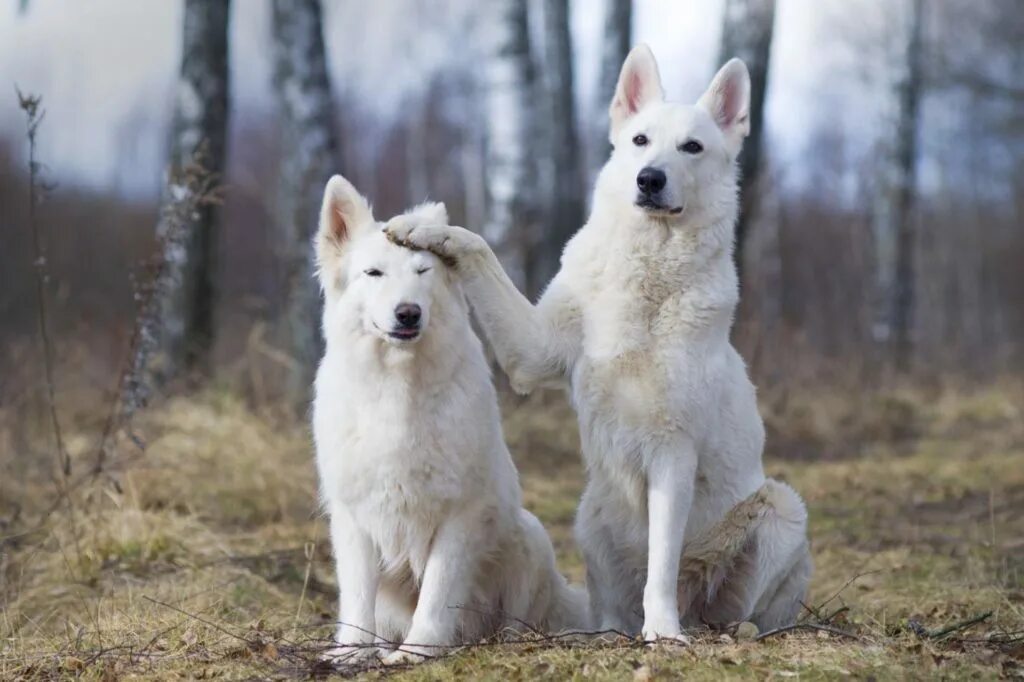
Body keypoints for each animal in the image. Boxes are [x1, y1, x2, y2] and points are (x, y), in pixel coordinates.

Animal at [311, 175, 585, 663]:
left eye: (423, 272)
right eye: (374, 273)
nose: (408, 312)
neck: (398, 389)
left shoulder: (460, 515)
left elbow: (437, 591)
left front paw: (417, 652)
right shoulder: (354, 516)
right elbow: (356, 596)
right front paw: (352, 654)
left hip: (531, 536)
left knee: (518, 618)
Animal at [387, 45, 811, 638]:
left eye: (692, 147)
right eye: (640, 140)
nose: (650, 179)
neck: (647, 270)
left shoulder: (672, 451)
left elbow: (661, 564)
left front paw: (664, 635)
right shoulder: (531, 353)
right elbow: (478, 249)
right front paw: (426, 232)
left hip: (782, 510)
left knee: (730, 606)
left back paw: (713, 629)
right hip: (591, 513)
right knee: (612, 605)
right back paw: (607, 633)